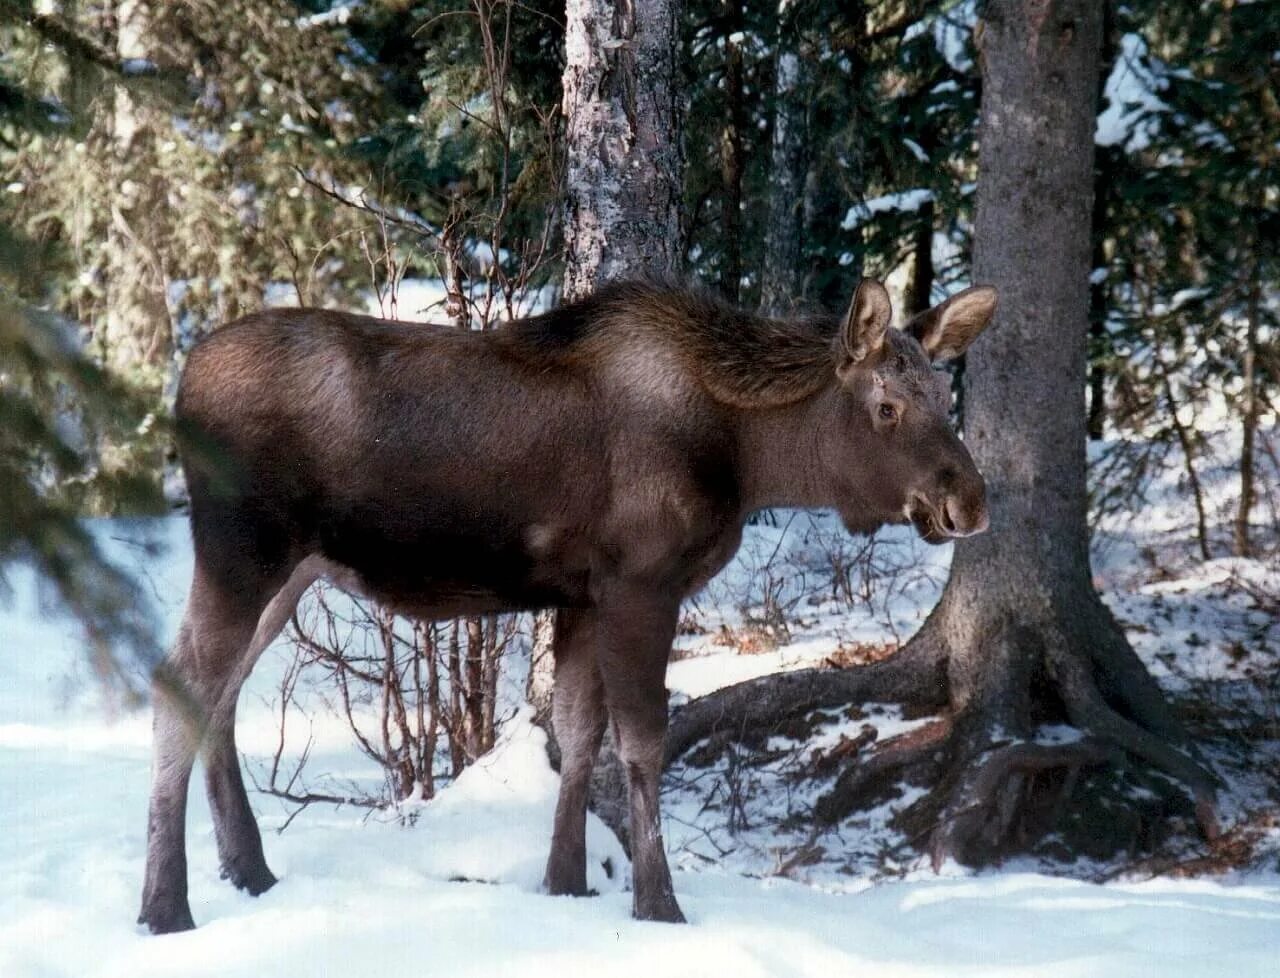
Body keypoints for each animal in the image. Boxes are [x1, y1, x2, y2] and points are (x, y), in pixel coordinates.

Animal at [140, 275, 998, 931]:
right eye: (887, 407)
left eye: (945, 394)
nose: (970, 502)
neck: (747, 460)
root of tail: (179, 386)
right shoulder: (641, 584)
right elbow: (642, 743)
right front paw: (659, 904)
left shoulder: (584, 595)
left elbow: (579, 732)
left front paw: (567, 882)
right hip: (242, 553)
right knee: (175, 681)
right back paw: (165, 907)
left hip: (291, 573)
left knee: (218, 693)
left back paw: (249, 871)